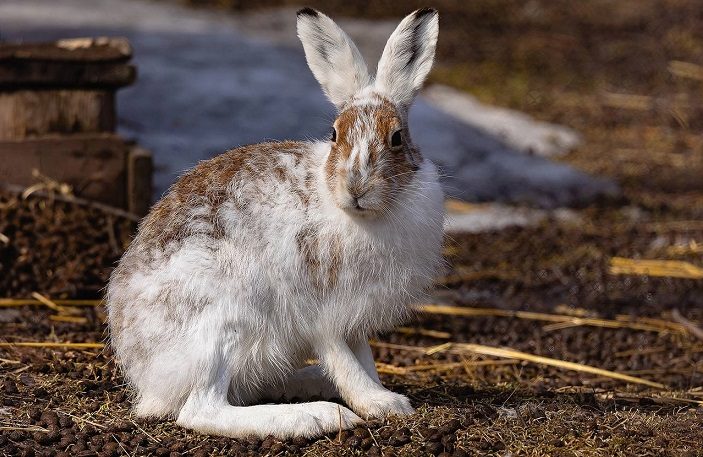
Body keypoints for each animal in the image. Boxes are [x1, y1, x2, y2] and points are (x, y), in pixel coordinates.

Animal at [106, 7, 443, 439]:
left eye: (397, 137)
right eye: (335, 134)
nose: (356, 187)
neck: (357, 213)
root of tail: (144, 372)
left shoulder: (354, 317)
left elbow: (363, 356)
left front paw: (381, 395)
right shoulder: (322, 314)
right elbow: (344, 358)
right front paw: (381, 403)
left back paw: (310, 384)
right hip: (225, 322)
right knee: (201, 409)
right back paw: (314, 415)